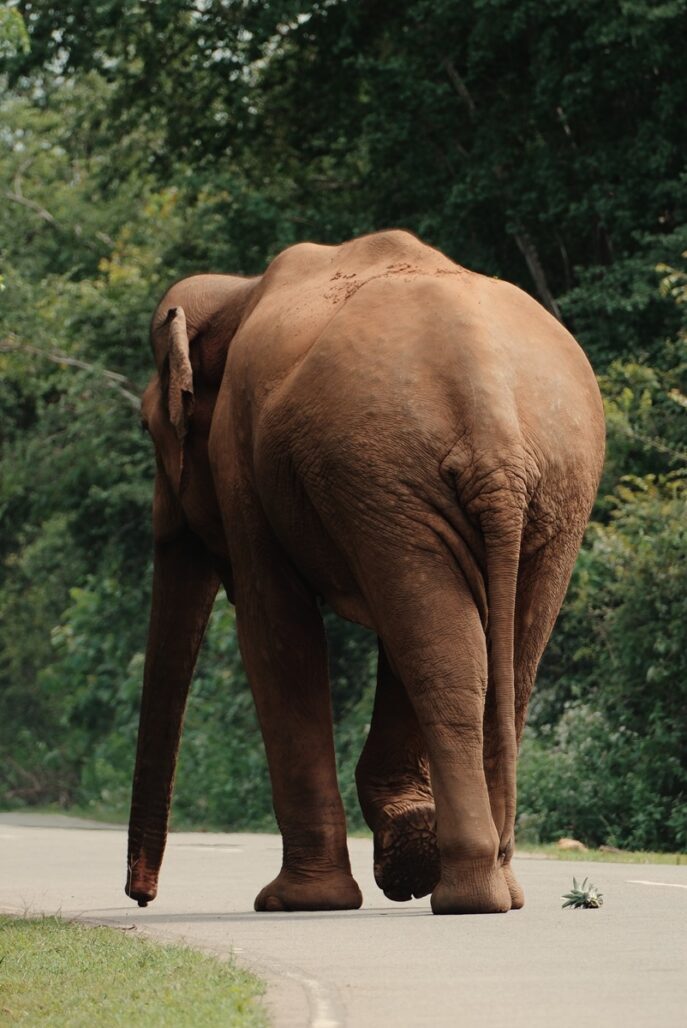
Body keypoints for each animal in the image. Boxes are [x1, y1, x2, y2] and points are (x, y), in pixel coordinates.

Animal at [125, 229, 604, 915]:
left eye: (147, 426)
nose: (141, 899)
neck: (240, 290)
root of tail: (493, 420)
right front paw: (405, 849)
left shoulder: (240, 460)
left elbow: (276, 633)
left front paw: (297, 901)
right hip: (517, 486)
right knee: (482, 651)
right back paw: (495, 888)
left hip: (399, 465)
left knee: (442, 652)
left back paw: (465, 895)